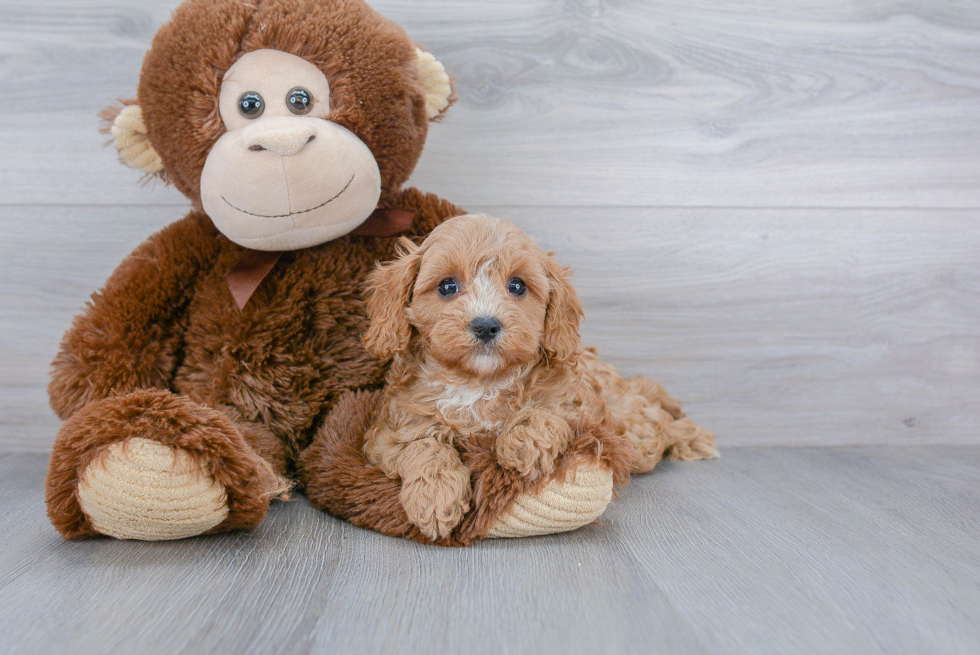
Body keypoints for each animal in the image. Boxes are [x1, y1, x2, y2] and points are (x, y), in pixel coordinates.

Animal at [364, 215, 716, 544]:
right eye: (447, 286)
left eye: (518, 286)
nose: (486, 325)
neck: (480, 381)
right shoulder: (390, 432)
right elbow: (423, 447)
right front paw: (434, 498)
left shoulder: (584, 408)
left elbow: (543, 412)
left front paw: (526, 443)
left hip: (633, 430)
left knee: (657, 422)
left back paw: (693, 437)